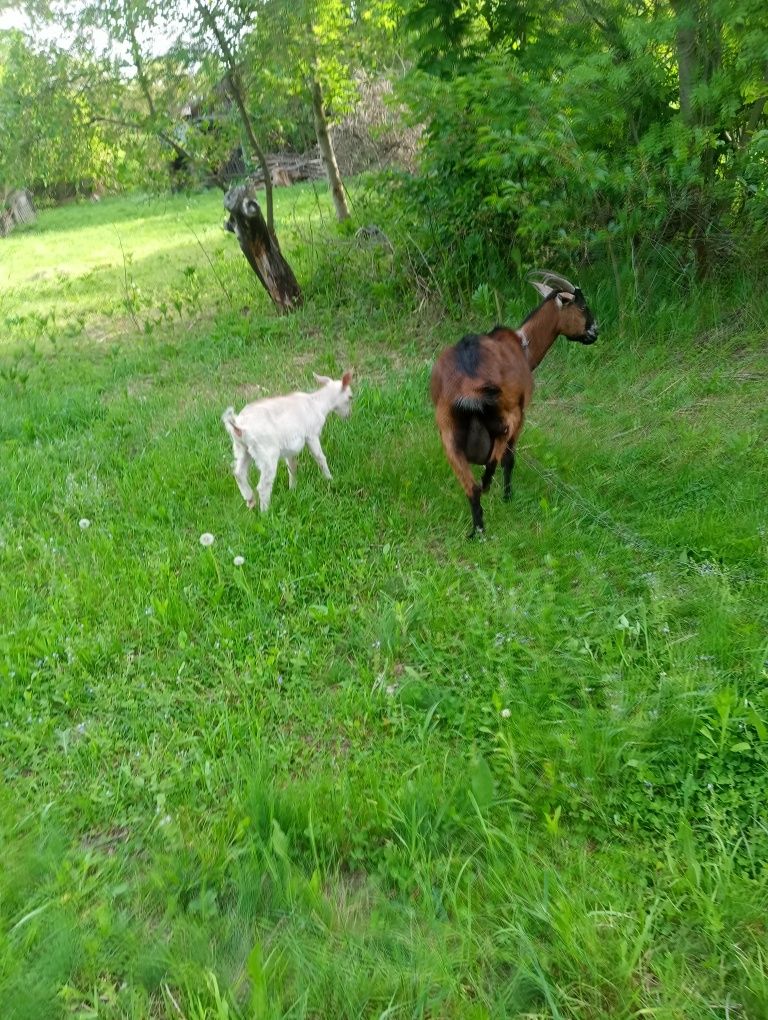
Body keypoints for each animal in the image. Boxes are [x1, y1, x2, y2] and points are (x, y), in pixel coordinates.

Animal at [428, 271, 595, 534]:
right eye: (583, 306)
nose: (594, 332)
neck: (523, 344)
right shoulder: (521, 411)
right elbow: (509, 458)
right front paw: (507, 496)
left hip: (448, 431)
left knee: (472, 487)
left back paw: (477, 531)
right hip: (508, 413)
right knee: (496, 457)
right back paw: (488, 488)